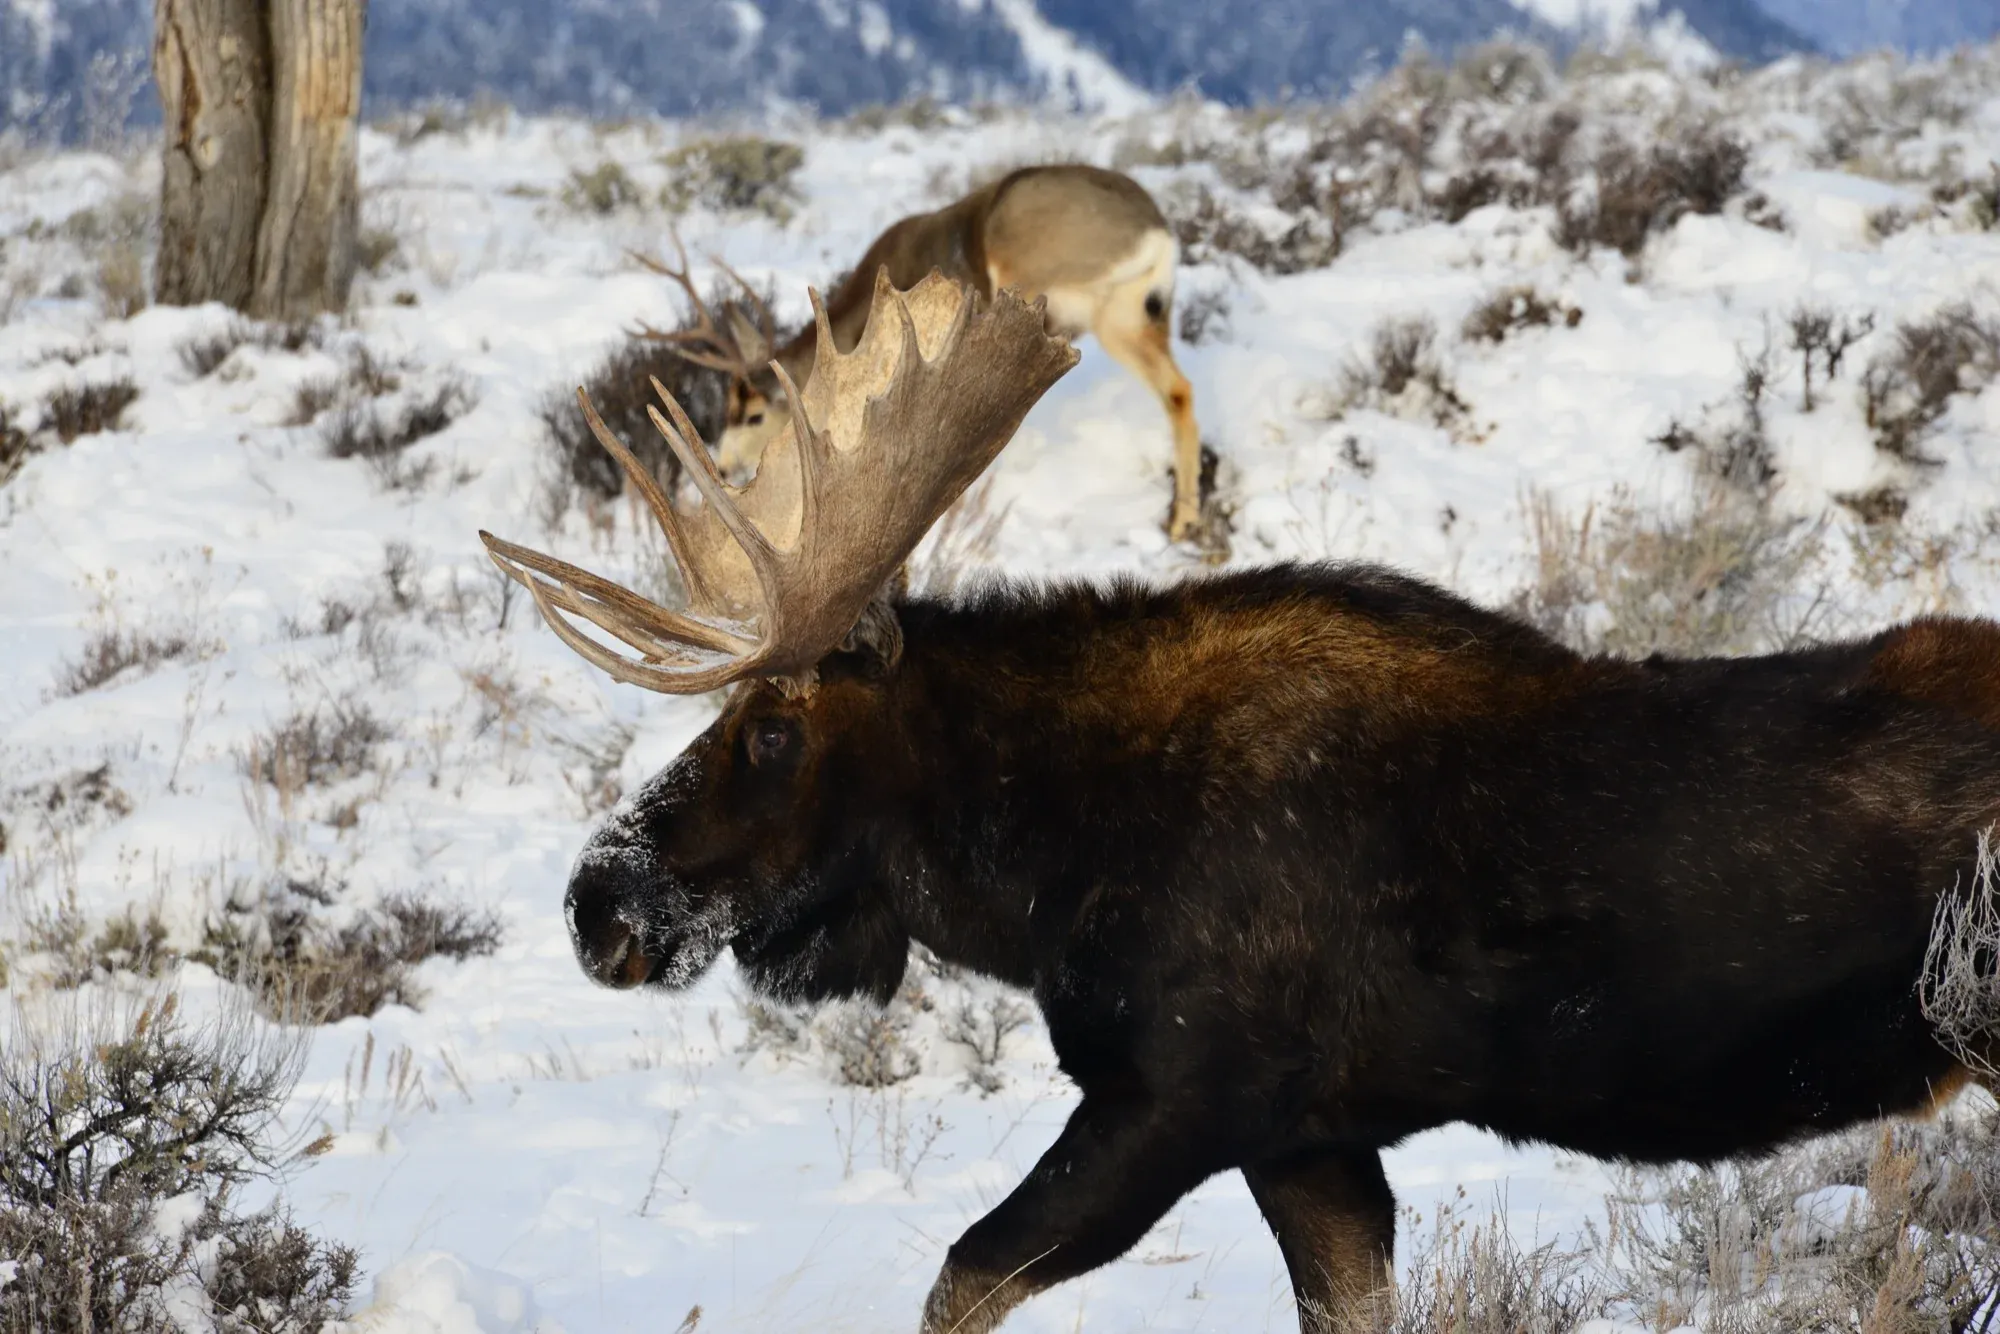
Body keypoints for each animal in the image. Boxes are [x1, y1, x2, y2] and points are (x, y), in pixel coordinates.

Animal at [482, 268, 2000, 1333]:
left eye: (774, 725)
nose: (595, 902)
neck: (1038, 873)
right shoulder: (1315, 1145)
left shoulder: (1177, 1101)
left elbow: (960, 1276)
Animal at [635, 163, 1207, 542]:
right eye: (725, 410)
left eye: (754, 415)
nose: (724, 466)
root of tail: (1156, 233)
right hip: (1133, 314)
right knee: (1179, 390)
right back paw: (1185, 517)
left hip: (1046, 291)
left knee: (1176, 389)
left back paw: (1182, 519)